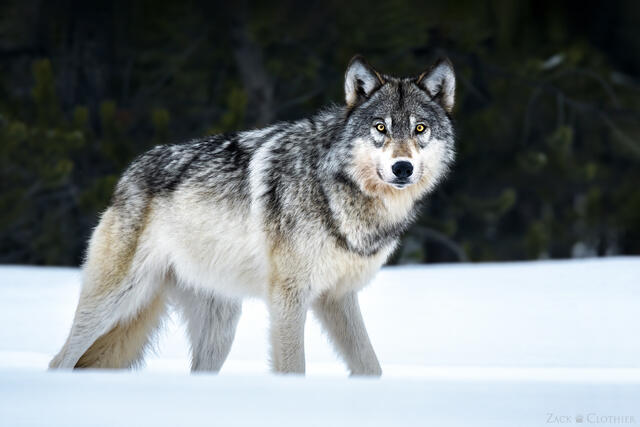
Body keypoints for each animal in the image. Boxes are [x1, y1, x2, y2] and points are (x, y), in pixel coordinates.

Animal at [49, 55, 456, 375]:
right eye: (380, 127)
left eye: (419, 128)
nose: (402, 168)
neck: (335, 187)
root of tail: (128, 173)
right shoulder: (289, 296)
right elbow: (293, 367)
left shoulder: (338, 296)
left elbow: (371, 366)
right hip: (114, 301)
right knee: (61, 359)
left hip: (220, 328)